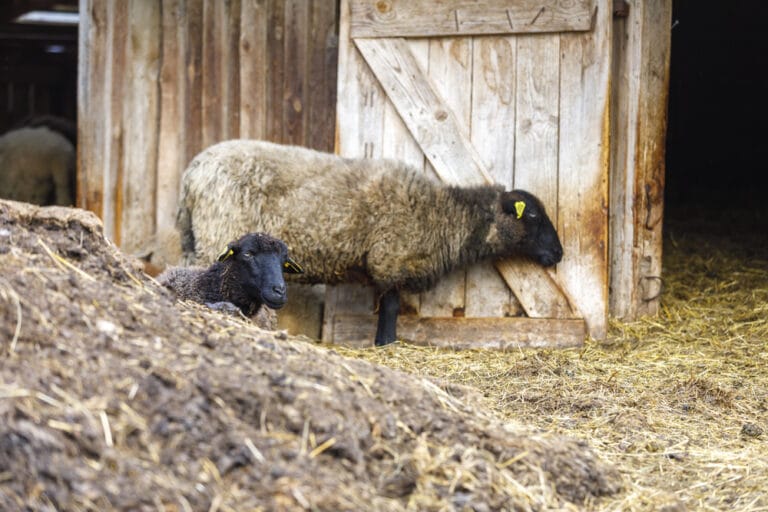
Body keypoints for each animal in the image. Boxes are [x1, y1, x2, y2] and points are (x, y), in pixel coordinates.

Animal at [176, 139, 564, 344]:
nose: (559, 253)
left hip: (196, 238)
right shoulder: (392, 258)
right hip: (218, 230)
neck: (442, 214)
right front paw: (385, 343)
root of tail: (192, 172)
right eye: (532, 216)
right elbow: (390, 307)